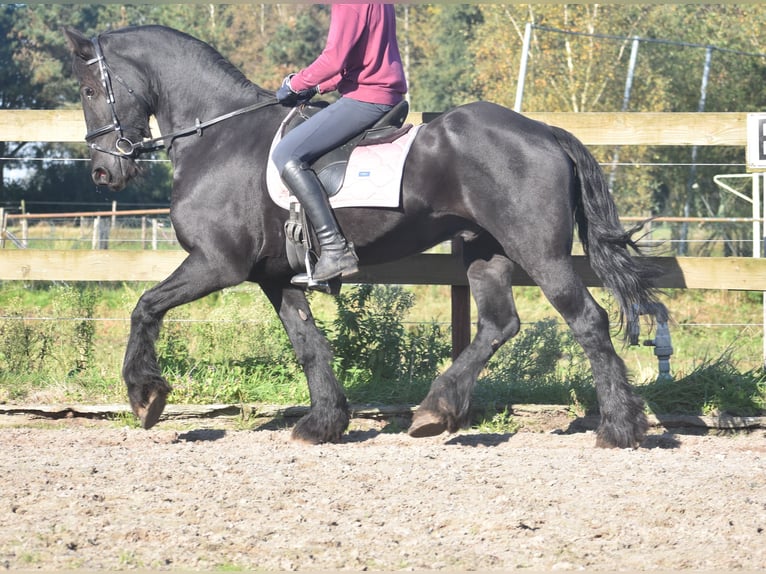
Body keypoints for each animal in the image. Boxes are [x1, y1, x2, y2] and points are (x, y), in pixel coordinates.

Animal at [64, 25, 664, 450]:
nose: (103, 172)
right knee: (499, 324)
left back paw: (619, 429)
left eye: (91, 88)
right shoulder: (275, 277)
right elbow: (309, 345)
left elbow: (145, 306)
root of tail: (545, 131)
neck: (218, 134)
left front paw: (145, 395)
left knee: (587, 320)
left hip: (538, 250)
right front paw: (323, 423)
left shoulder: (216, 263)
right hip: (485, 250)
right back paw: (435, 411)